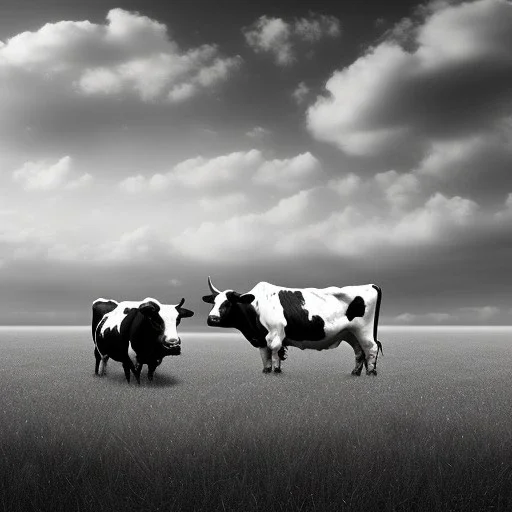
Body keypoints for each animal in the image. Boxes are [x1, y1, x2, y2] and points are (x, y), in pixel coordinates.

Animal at [202, 278, 382, 374]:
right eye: (214, 303)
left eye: (228, 303)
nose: (212, 319)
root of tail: (372, 285)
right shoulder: (261, 339)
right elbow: (265, 357)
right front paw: (267, 371)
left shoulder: (275, 335)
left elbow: (275, 353)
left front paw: (276, 371)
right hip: (350, 333)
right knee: (359, 351)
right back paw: (355, 373)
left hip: (364, 331)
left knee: (371, 348)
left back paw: (371, 372)